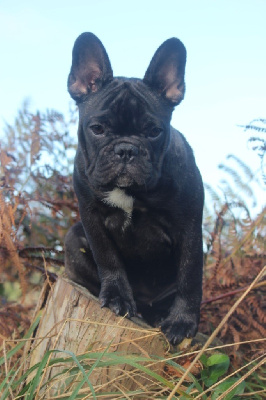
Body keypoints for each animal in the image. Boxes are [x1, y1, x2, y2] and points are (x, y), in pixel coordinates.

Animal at [64, 32, 204, 344]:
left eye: (154, 132)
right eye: (98, 129)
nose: (126, 149)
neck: (130, 193)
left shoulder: (189, 225)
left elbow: (190, 275)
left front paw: (181, 321)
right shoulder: (90, 216)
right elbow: (107, 257)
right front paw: (117, 296)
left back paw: (160, 315)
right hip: (73, 239)